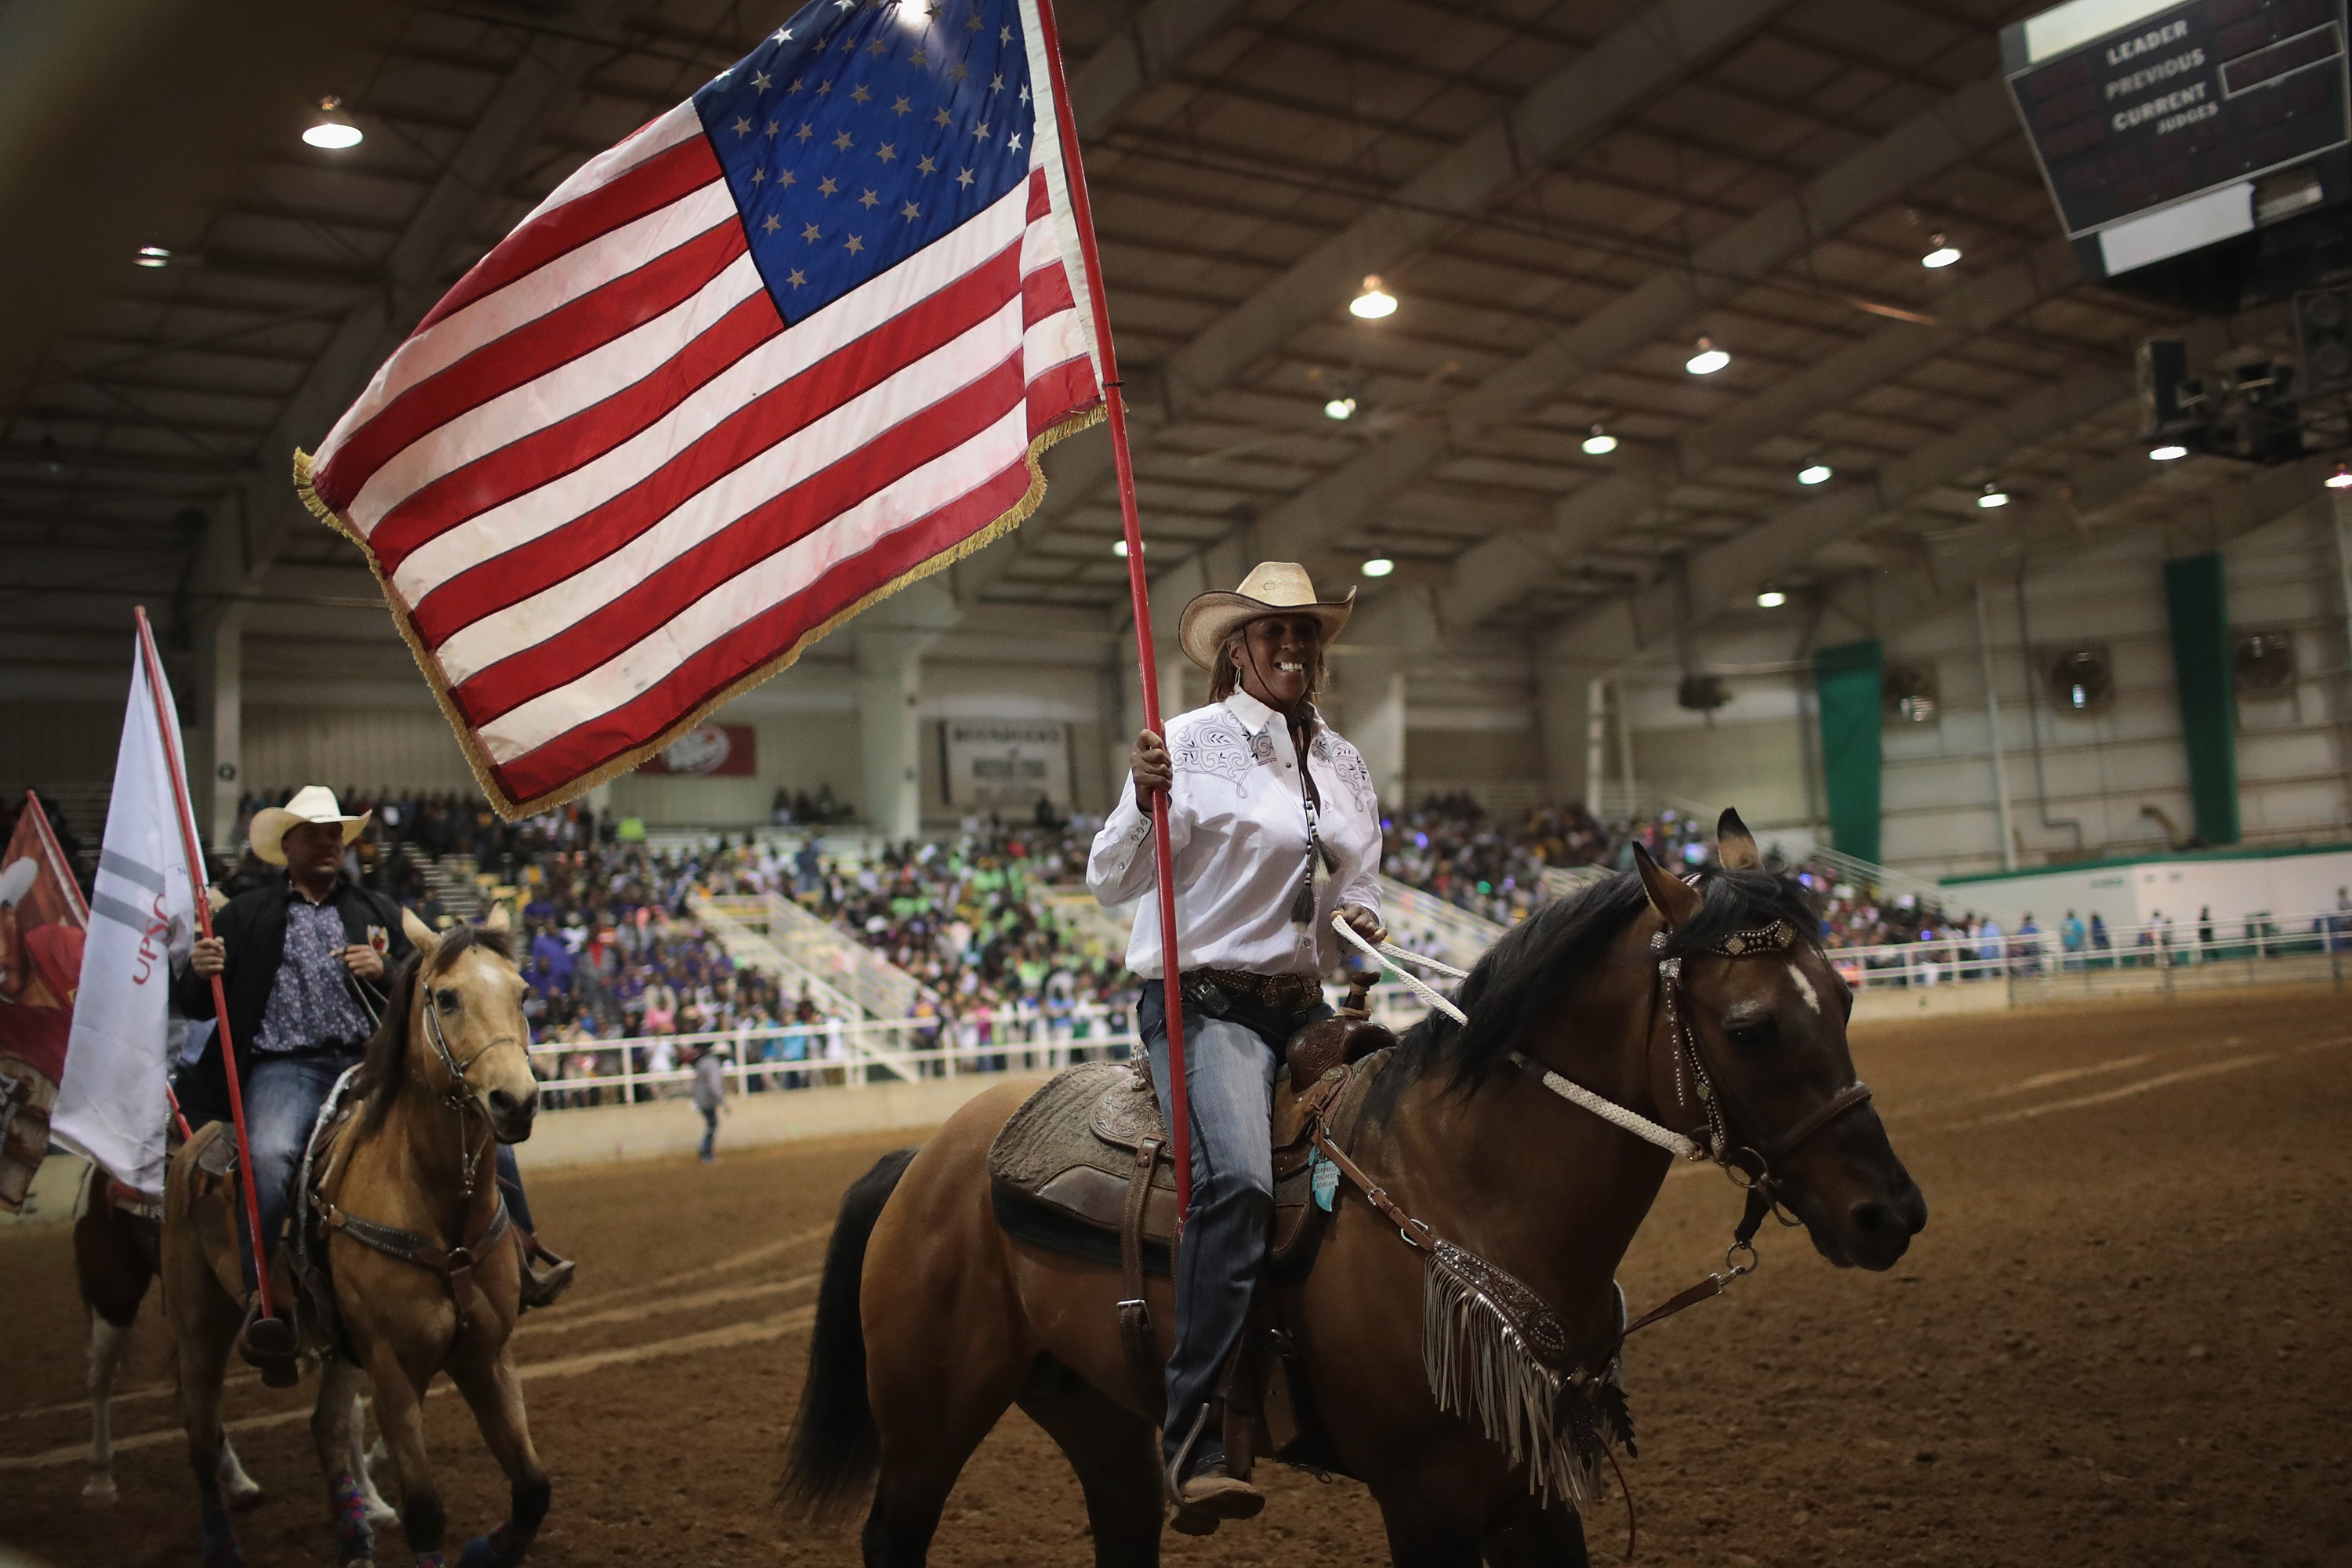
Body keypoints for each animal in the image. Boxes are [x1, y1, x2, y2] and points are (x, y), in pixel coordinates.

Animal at [163, 921, 553, 1568]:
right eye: (446, 997)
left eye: (522, 993)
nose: (516, 1101)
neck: (437, 1207)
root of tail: (195, 1143)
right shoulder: (393, 1369)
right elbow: (426, 1514)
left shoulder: (488, 1355)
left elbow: (533, 1490)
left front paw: (485, 1549)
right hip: (199, 1324)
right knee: (200, 1438)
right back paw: (222, 1544)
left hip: (339, 1348)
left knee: (324, 1428)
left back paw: (355, 1538)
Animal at [781, 818, 1919, 1561]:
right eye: (1751, 1027)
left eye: (1845, 996)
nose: (1893, 1214)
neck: (1469, 1192)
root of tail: (924, 1157)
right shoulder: (1427, 1501)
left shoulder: (1540, 1493)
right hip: (927, 1420)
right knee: (892, 1535)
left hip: (1097, 1415)